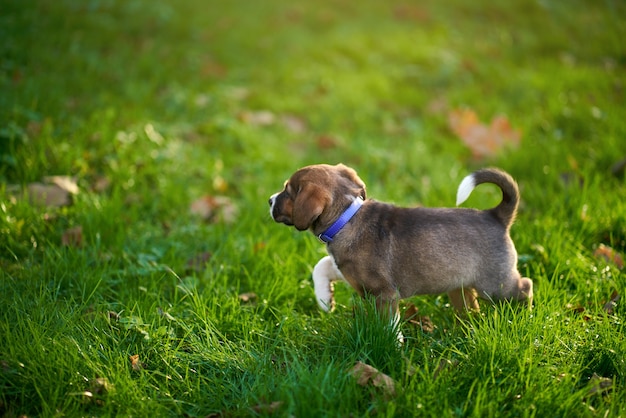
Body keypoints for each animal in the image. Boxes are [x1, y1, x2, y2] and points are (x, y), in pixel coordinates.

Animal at [268, 164, 532, 326]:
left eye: (288, 192)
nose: (269, 200)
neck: (347, 217)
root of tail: (496, 215)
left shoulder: (383, 293)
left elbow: (388, 326)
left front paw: (392, 348)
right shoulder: (350, 272)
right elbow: (321, 265)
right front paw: (325, 300)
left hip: (495, 285)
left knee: (525, 286)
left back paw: (523, 316)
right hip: (461, 286)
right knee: (470, 307)